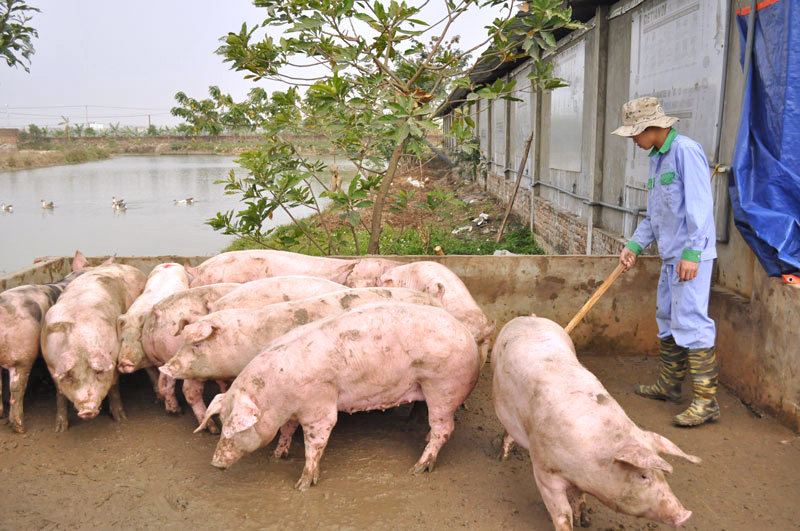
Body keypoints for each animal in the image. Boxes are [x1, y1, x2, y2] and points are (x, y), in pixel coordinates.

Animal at [40, 262, 148, 432]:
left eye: (97, 372)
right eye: (70, 376)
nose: (87, 409)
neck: (80, 345)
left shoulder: (114, 359)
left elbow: (114, 387)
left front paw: (120, 419)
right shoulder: (51, 366)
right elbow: (60, 394)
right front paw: (60, 429)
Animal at [198, 302, 482, 492]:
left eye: (235, 428)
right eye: (221, 422)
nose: (214, 463)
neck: (278, 397)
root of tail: (468, 335)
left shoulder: (319, 406)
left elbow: (316, 441)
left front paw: (302, 485)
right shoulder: (293, 411)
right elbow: (287, 430)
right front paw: (277, 456)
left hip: (443, 385)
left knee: (445, 428)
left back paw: (418, 468)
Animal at [490, 318, 696, 528]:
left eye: (662, 475)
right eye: (643, 475)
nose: (685, 514)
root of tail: (528, 317)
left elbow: (578, 496)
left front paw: (585, 520)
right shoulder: (545, 472)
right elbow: (562, 513)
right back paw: (502, 457)